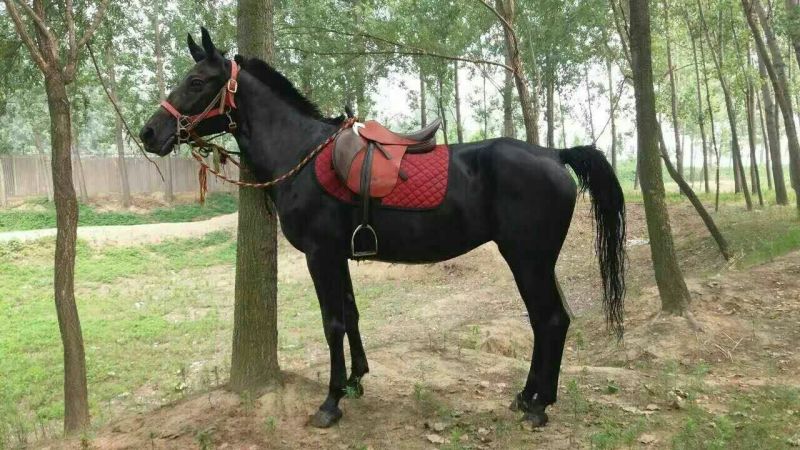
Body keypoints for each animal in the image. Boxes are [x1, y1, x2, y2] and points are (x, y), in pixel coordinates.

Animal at [139, 28, 626, 429]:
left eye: (196, 82)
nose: (149, 133)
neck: (301, 155)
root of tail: (556, 155)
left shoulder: (320, 254)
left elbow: (332, 322)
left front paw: (330, 402)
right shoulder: (340, 255)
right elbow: (351, 314)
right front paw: (356, 381)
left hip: (528, 260)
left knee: (550, 320)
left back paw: (538, 406)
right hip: (537, 262)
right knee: (549, 321)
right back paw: (528, 398)